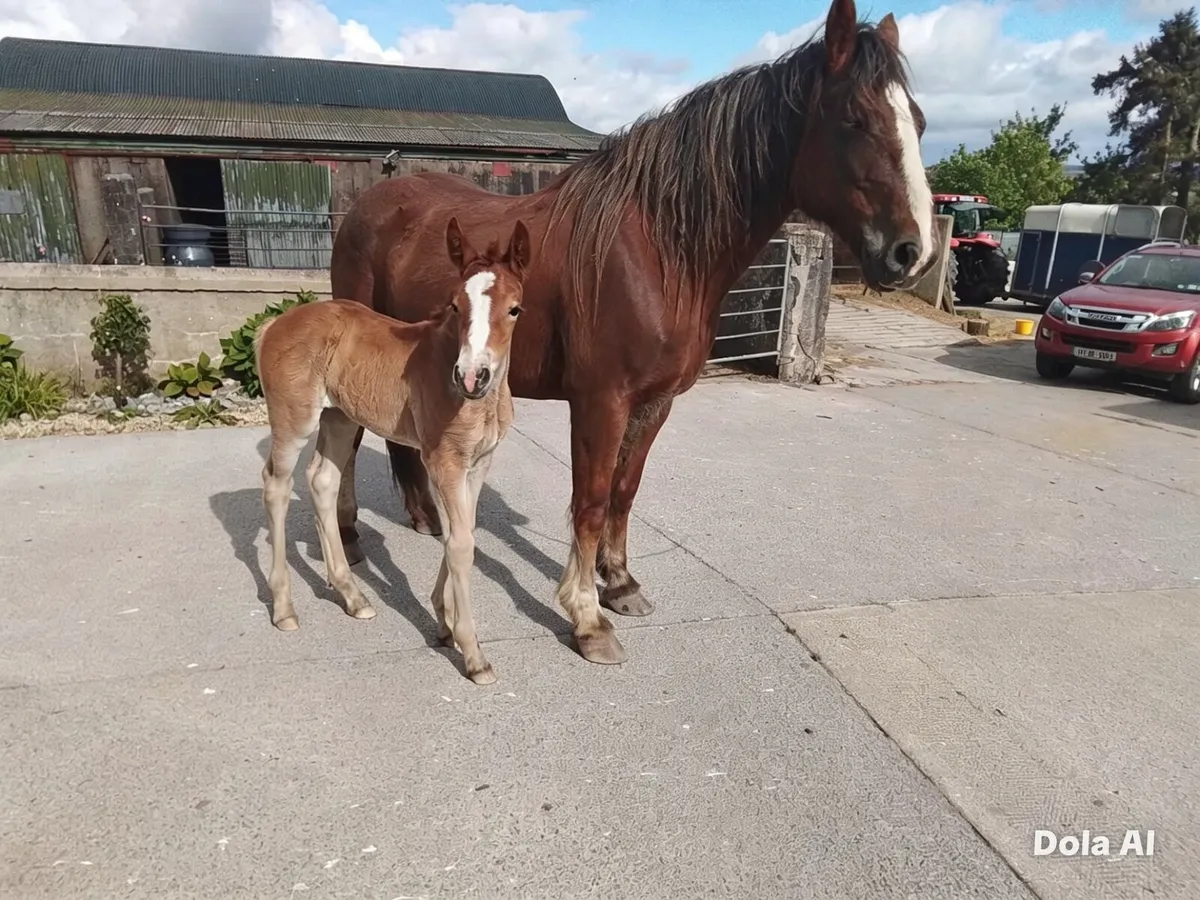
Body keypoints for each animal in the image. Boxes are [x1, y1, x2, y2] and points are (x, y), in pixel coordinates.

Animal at [256, 216, 531, 685]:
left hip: (340, 417)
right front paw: (473, 654)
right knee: (276, 486)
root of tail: (272, 325)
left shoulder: (477, 464)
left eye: (514, 309)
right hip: (294, 421)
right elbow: (461, 545)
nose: (471, 376)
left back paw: (353, 596)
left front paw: (443, 623)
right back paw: (284, 607)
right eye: (455, 305)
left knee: (322, 481)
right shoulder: (442, 461)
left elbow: (463, 534)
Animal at [328, 0, 936, 667]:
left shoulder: (654, 402)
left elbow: (624, 491)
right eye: (855, 119)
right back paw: (351, 539)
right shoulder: (602, 400)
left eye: (920, 123)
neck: (658, 250)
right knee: (348, 444)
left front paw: (618, 584)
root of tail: (370, 203)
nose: (914, 253)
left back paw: (425, 519)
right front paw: (587, 618)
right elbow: (591, 499)